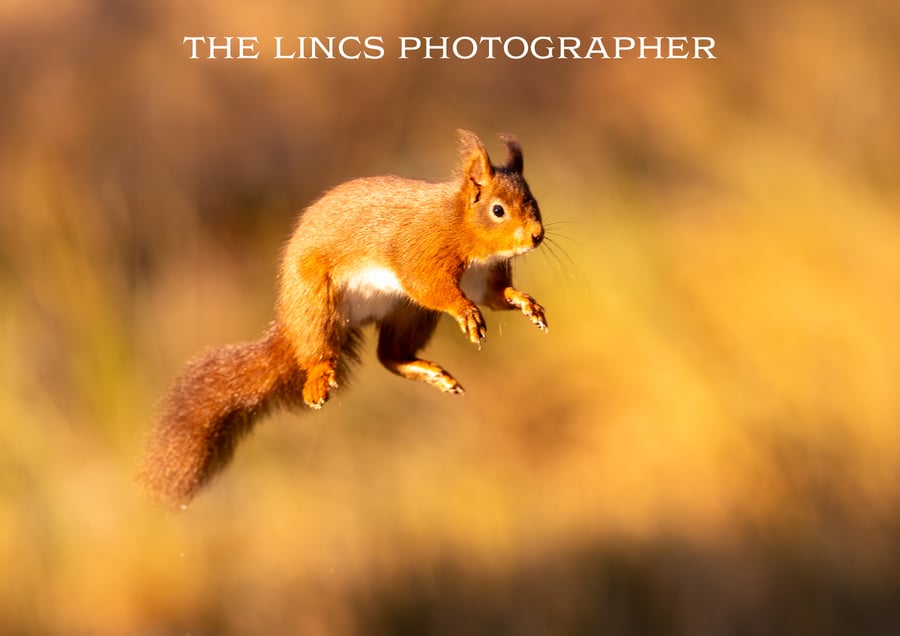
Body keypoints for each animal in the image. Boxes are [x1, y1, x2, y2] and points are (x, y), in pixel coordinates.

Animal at [139, 130, 548, 507]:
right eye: (498, 210)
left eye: (533, 201)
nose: (537, 236)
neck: (461, 226)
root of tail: (287, 325)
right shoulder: (421, 250)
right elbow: (431, 285)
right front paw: (466, 312)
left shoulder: (482, 277)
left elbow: (495, 297)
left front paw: (525, 303)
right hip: (318, 304)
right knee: (319, 352)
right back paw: (318, 380)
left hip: (408, 314)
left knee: (391, 356)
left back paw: (431, 373)